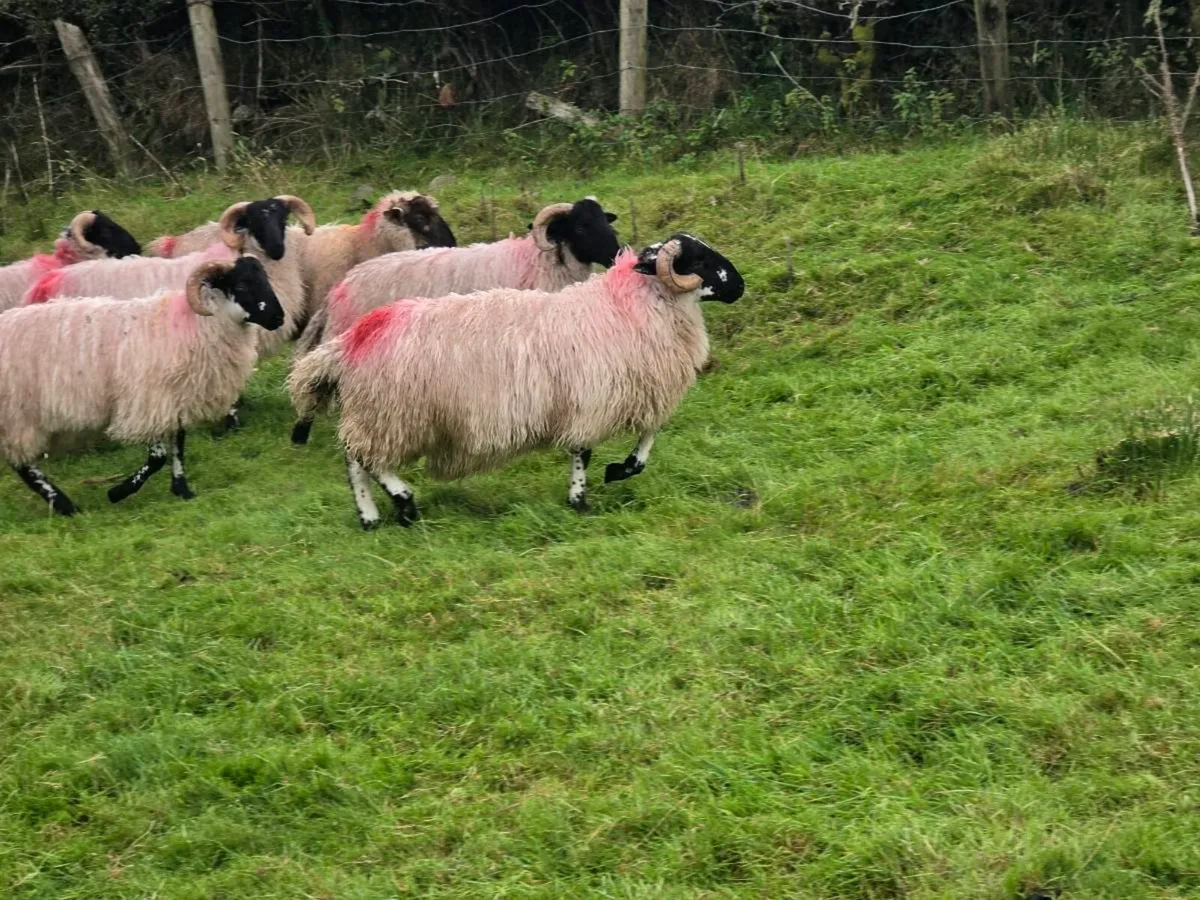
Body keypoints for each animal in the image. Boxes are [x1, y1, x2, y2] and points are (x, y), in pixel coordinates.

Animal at [0, 258, 284, 517]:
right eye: (242, 285)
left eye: (265, 279)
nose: (279, 318)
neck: (193, 325)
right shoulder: (149, 401)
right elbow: (158, 457)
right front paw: (118, 492)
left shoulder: (174, 400)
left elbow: (178, 446)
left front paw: (182, 490)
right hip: (18, 414)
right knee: (22, 464)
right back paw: (65, 505)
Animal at [287, 233, 744, 529]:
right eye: (699, 260)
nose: (740, 285)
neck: (629, 305)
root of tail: (350, 341)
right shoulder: (591, 400)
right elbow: (584, 452)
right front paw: (580, 499)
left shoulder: (633, 392)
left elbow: (650, 435)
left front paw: (621, 470)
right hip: (389, 413)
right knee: (366, 462)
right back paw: (402, 504)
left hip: (377, 414)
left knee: (357, 461)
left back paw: (373, 517)